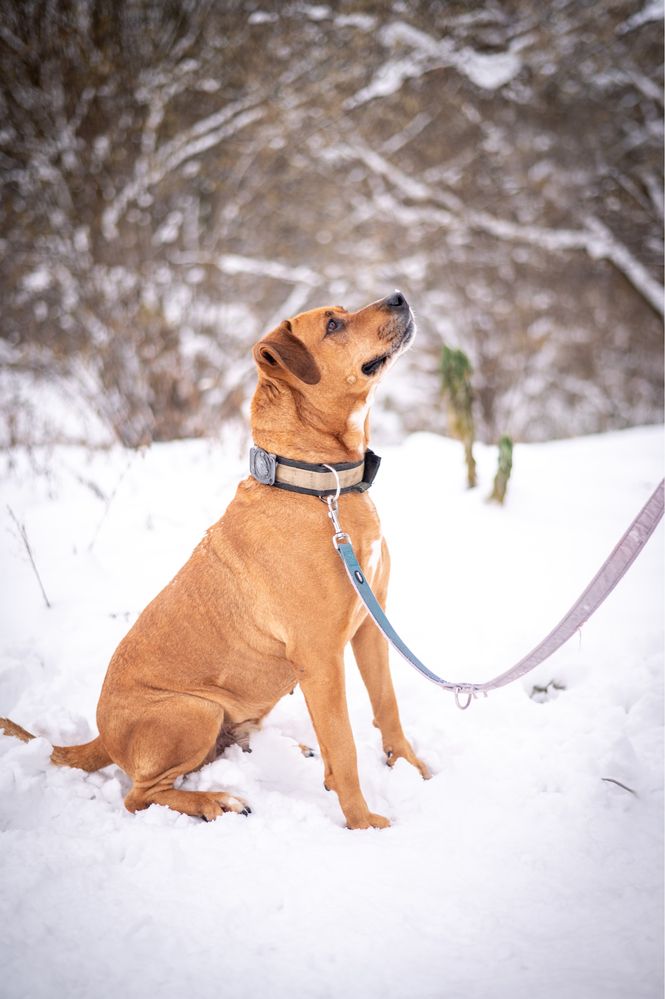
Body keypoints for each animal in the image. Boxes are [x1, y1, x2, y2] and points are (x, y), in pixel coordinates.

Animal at [1, 292, 430, 832]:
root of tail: (103, 738)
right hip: (194, 712)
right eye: (333, 324)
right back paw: (215, 802)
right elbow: (345, 745)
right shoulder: (320, 658)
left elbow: (387, 705)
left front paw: (410, 768)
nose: (400, 296)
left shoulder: (371, 624)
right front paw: (362, 823)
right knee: (141, 796)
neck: (321, 486)